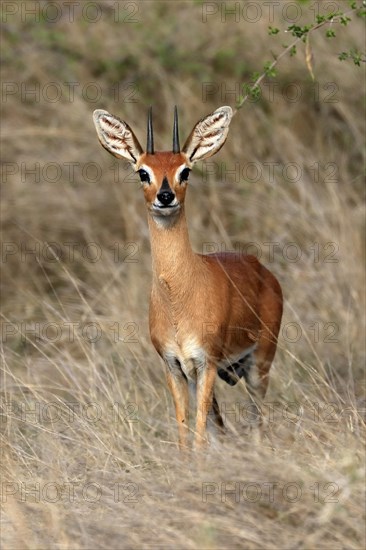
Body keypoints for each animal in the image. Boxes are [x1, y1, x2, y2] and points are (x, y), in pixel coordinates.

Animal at [92, 105, 284, 450]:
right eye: (143, 172)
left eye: (185, 171)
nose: (165, 196)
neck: (178, 298)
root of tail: (263, 270)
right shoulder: (174, 365)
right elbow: (185, 430)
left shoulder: (206, 362)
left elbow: (199, 433)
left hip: (259, 362)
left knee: (257, 418)